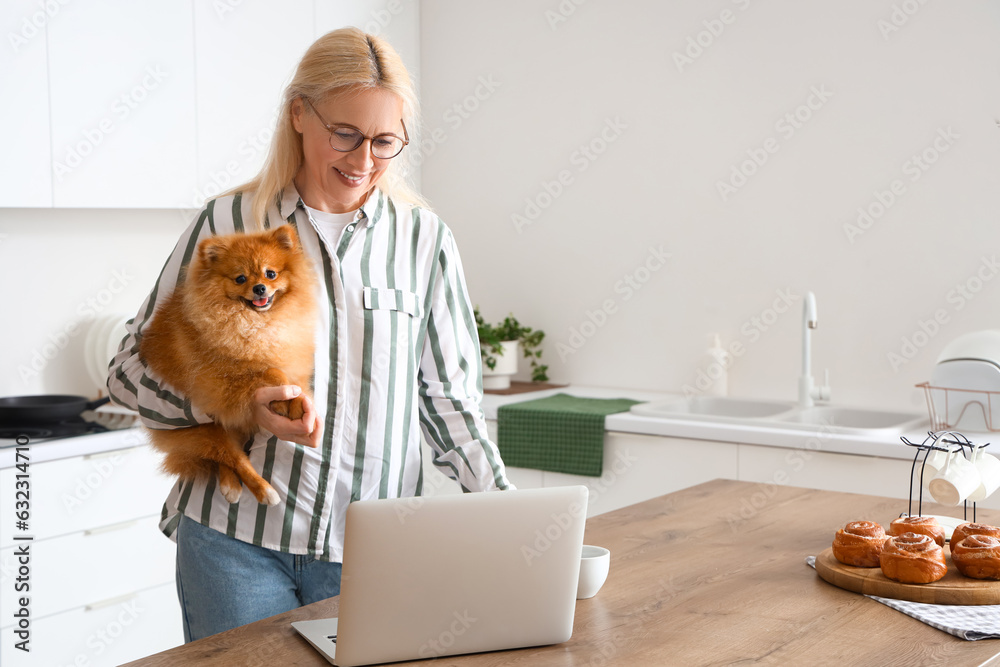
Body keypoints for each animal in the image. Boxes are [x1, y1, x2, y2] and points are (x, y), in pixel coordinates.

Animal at [140, 226, 316, 506]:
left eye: (271, 273)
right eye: (240, 279)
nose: (259, 288)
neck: (258, 323)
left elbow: (294, 383)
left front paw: (299, 404)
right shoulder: (227, 379)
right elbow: (272, 372)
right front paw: (284, 401)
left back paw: (231, 485)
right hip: (205, 429)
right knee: (232, 457)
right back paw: (259, 490)